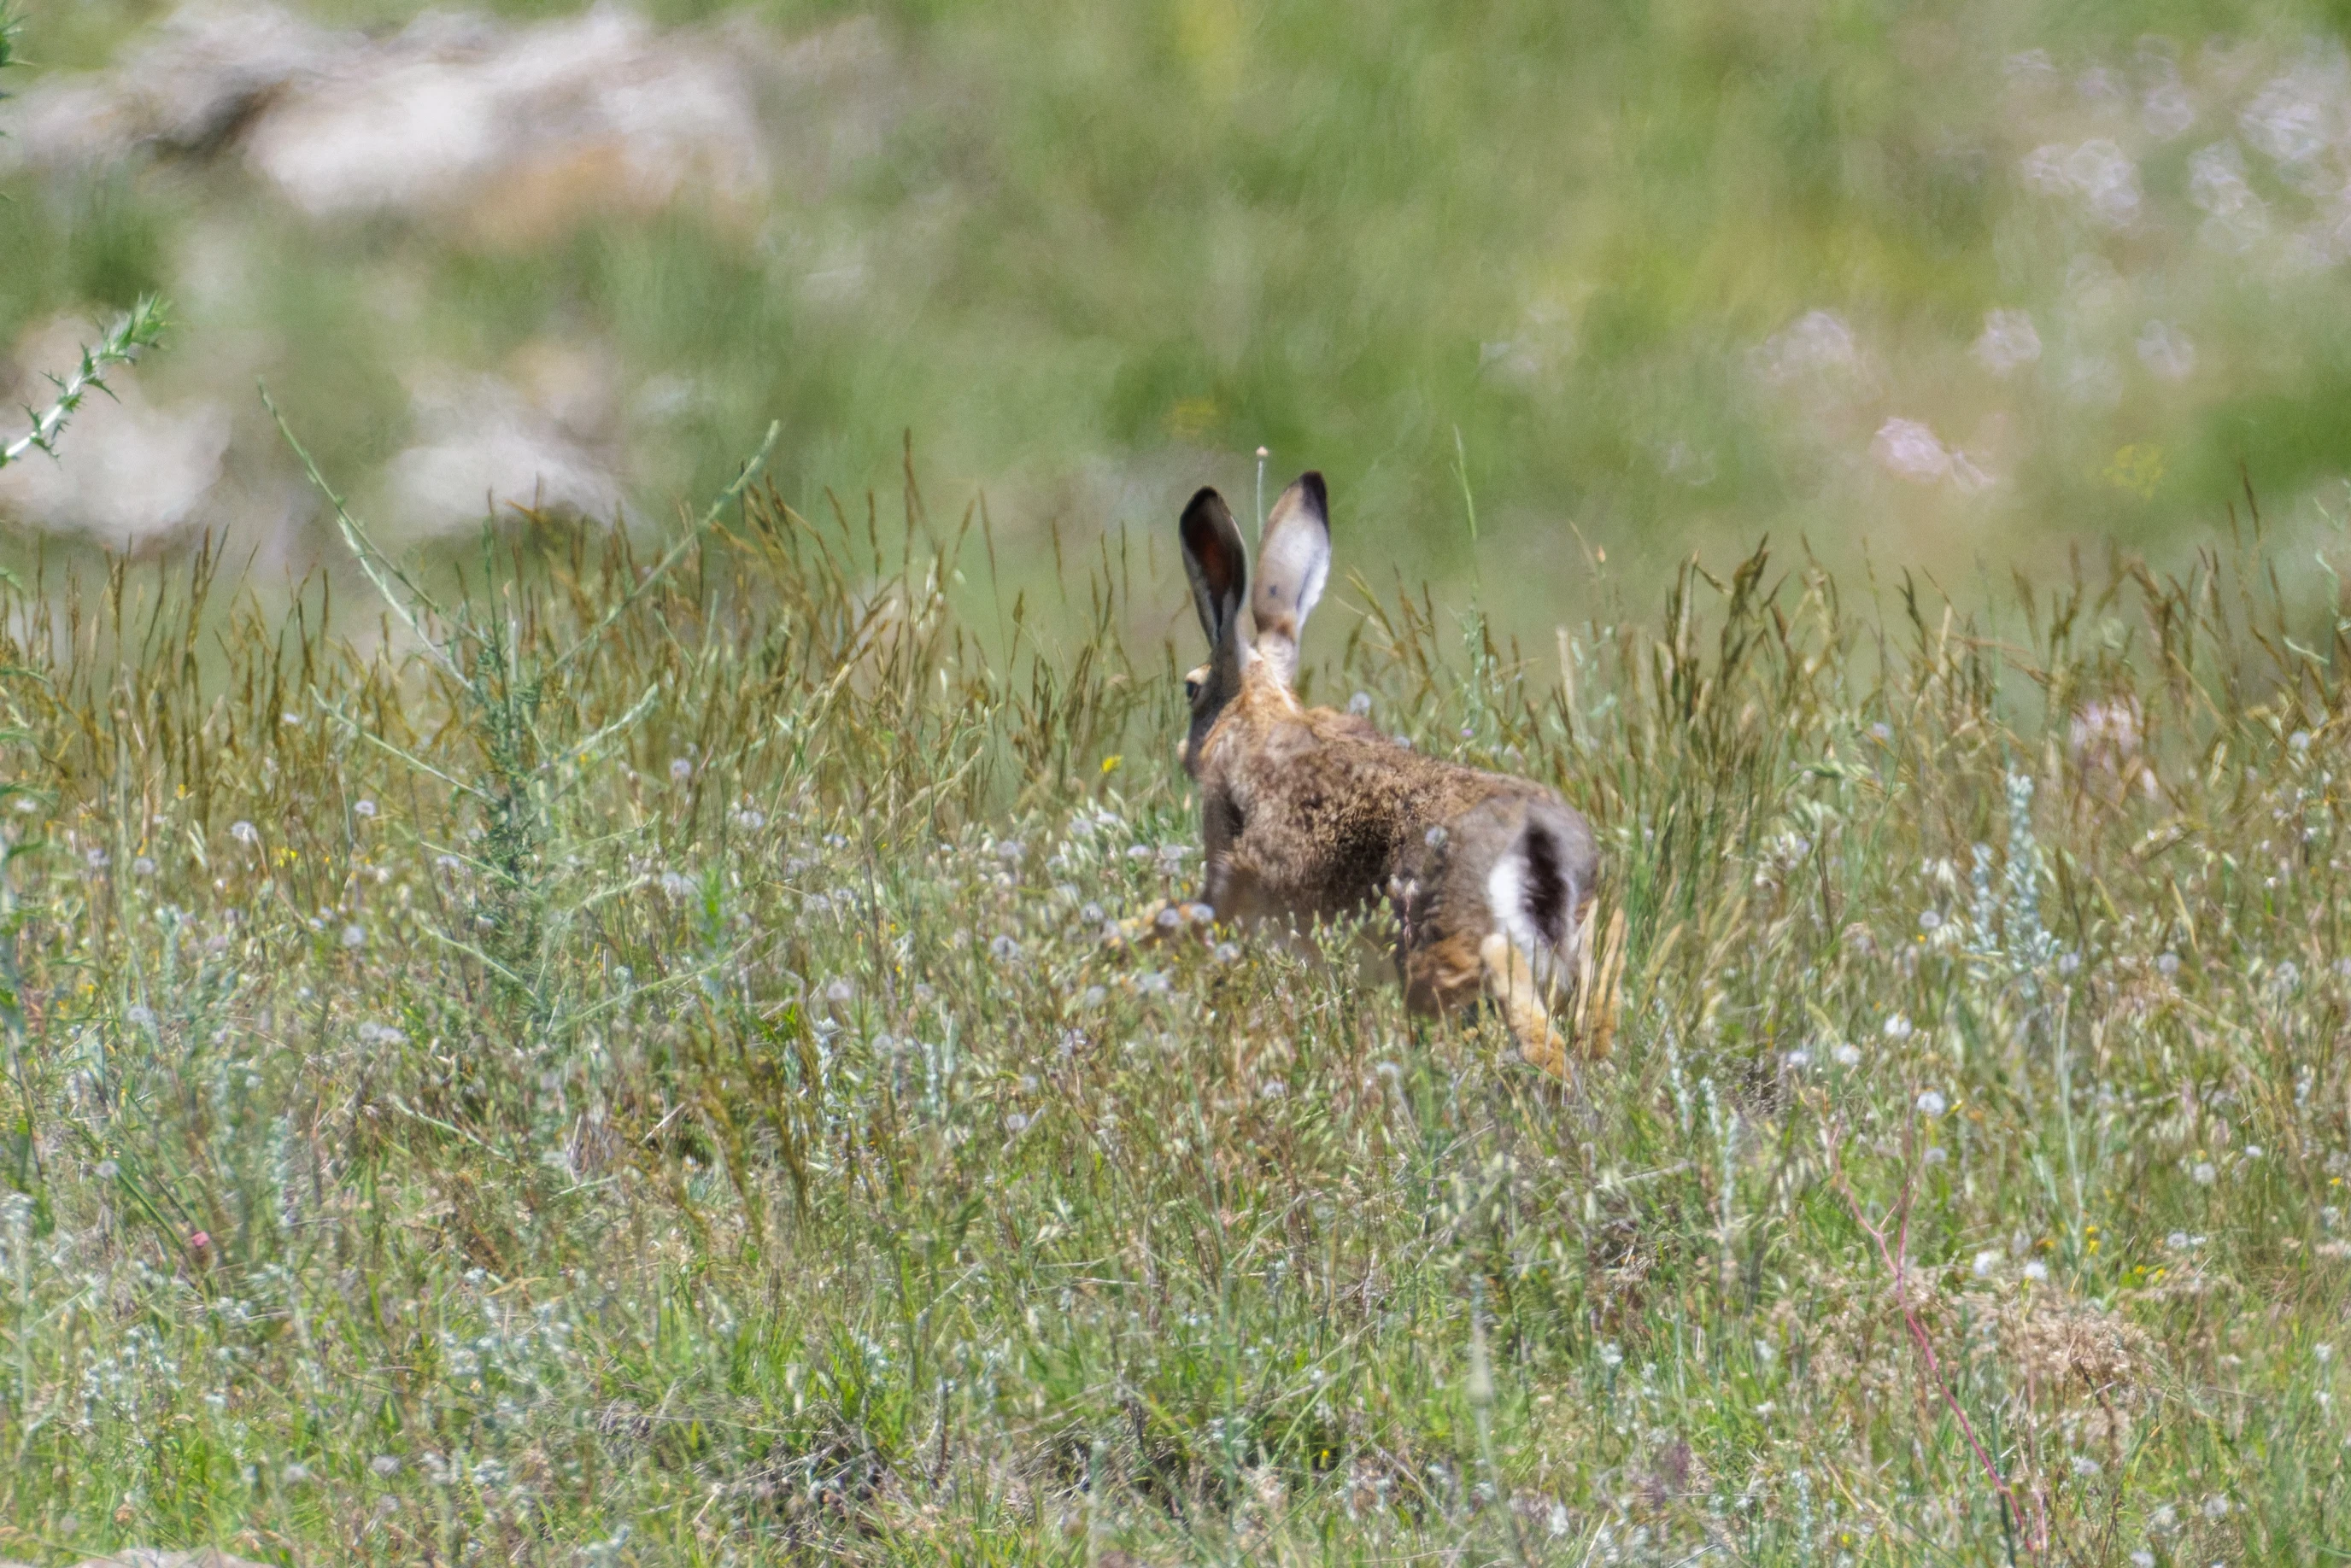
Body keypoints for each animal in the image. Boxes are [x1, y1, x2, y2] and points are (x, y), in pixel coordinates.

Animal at [1146, 469, 1613, 1075]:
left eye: (1191, 688)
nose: (1184, 750)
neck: (1256, 714)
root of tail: (1541, 843)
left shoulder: (1224, 881)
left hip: (1456, 948)